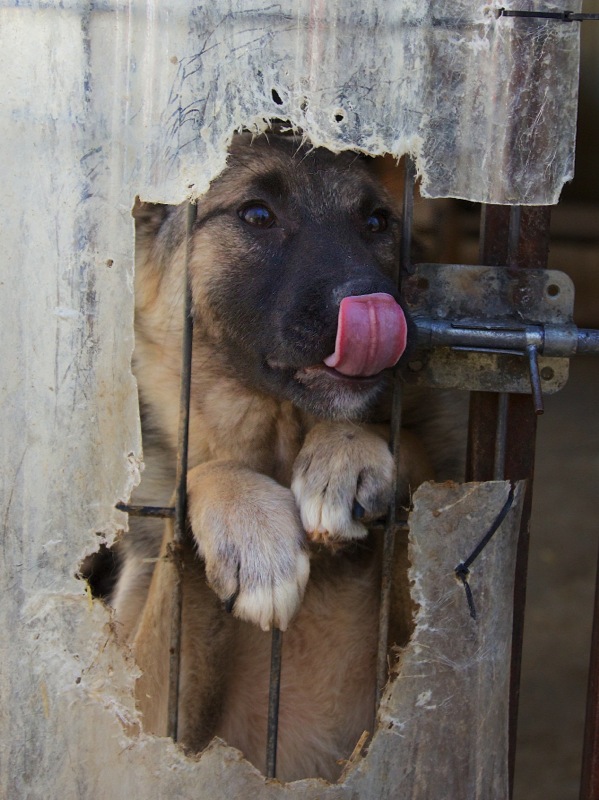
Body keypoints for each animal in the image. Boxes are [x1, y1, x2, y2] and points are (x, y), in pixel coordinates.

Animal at [110, 133, 464, 782]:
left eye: (376, 222)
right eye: (256, 214)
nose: (379, 309)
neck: (278, 439)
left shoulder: (422, 679)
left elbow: (405, 444)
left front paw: (345, 451)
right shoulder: (146, 725)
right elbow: (200, 473)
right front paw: (252, 529)